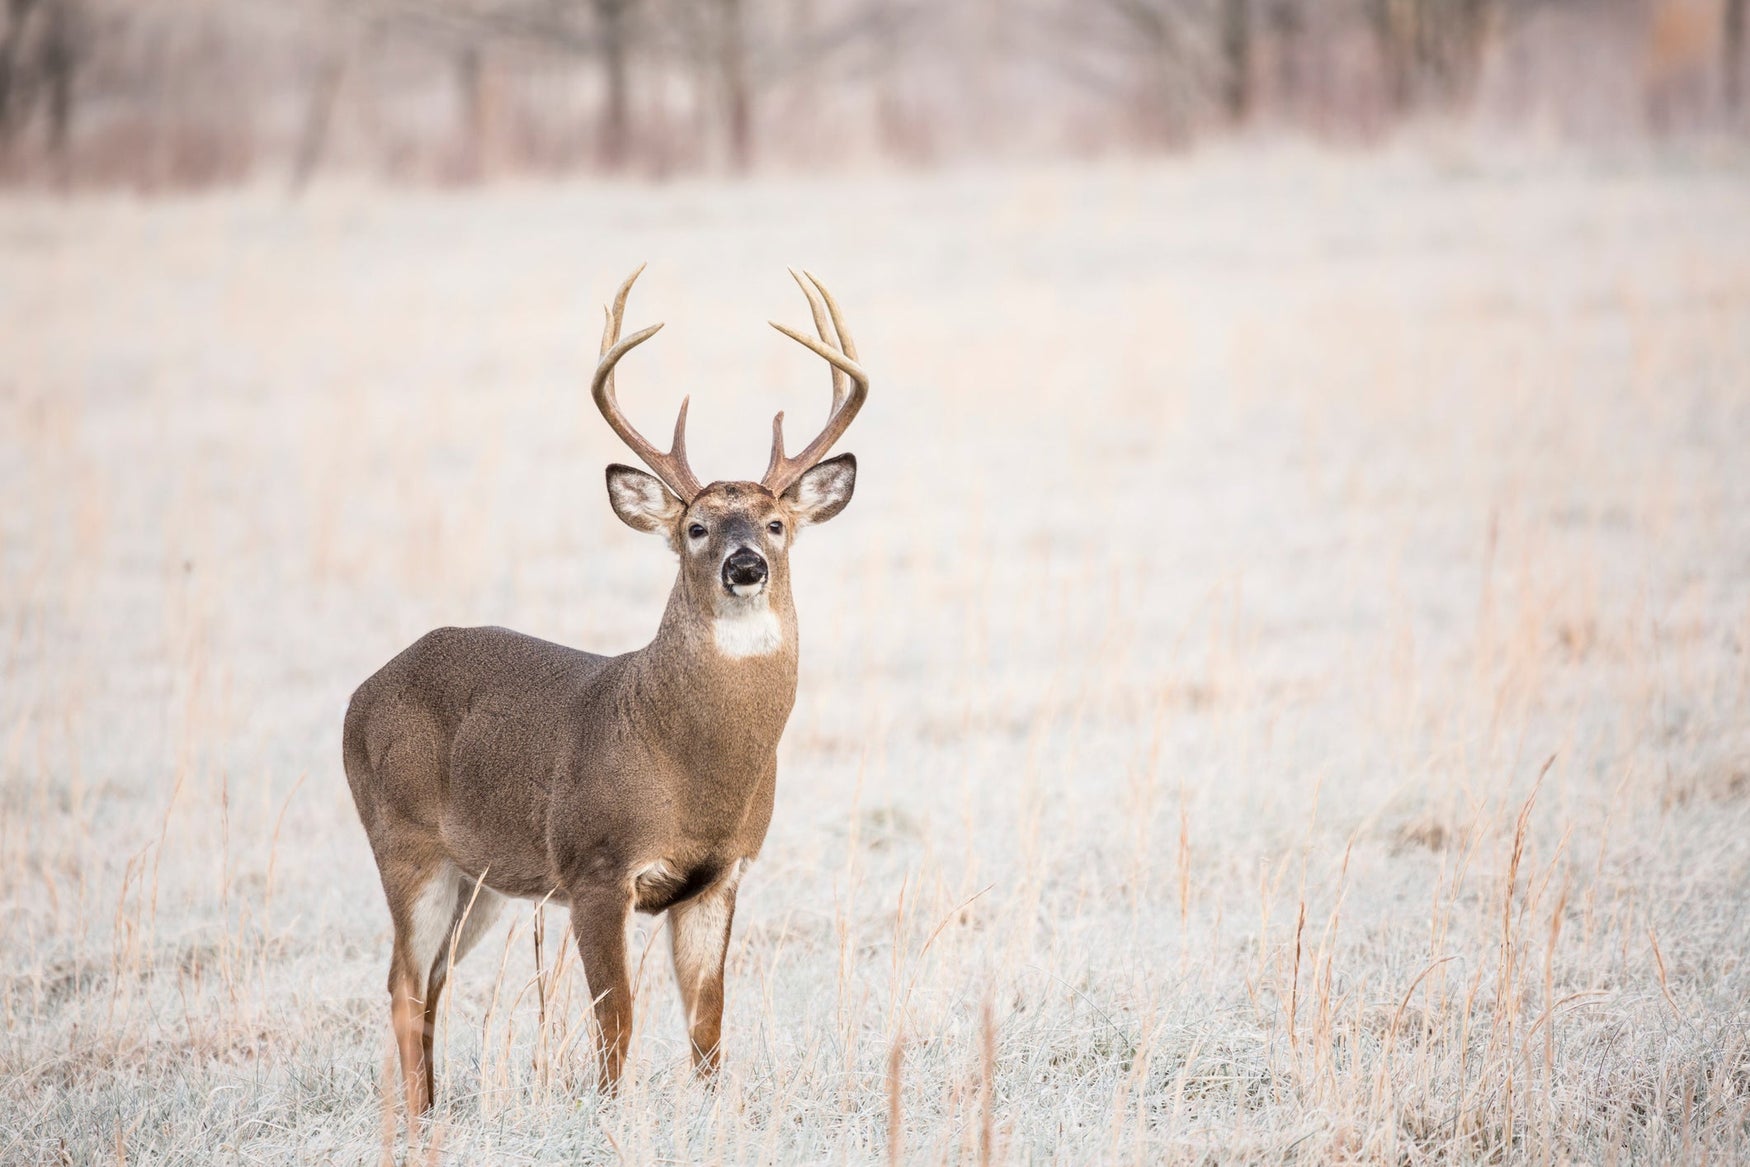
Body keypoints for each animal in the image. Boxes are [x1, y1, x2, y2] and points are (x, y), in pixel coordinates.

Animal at [341, 266, 867, 1114]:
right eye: (695, 528)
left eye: (777, 522)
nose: (744, 565)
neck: (691, 767)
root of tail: (360, 693)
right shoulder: (594, 863)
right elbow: (614, 1022)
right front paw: (612, 1117)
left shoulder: (721, 873)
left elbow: (708, 1026)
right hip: (404, 840)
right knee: (402, 980)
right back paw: (419, 1117)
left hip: (480, 873)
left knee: (430, 981)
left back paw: (432, 1107)